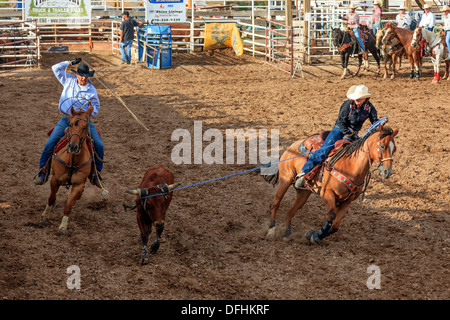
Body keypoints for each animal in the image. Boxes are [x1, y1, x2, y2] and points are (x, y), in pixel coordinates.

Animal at [262, 121, 400, 244]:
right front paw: (315, 236)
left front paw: (313, 235)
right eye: (382, 146)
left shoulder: (347, 202)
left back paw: (287, 234)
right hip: (285, 180)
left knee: (291, 211)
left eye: (394, 149)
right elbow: (331, 215)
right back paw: (271, 231)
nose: (388, 172)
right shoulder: (327, 193)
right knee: (275, 204)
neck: (350, 166)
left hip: (304, 193)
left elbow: (335, 226)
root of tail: (291, 146)